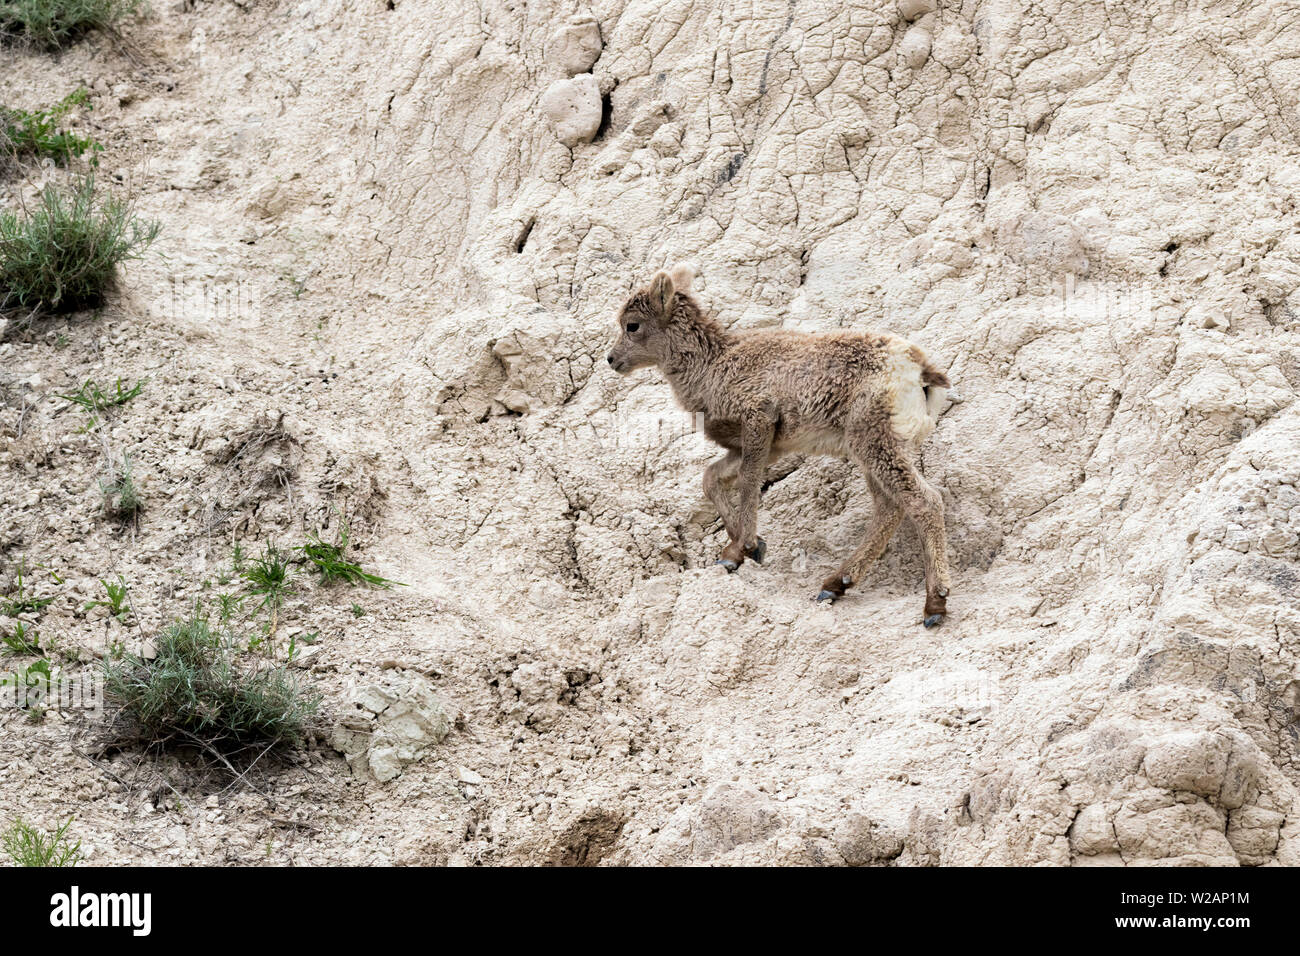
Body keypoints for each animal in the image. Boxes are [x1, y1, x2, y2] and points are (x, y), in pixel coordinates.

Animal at [608, 265, 956, 632]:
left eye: (632, 325)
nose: (611, 359)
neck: (713, 367)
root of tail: (919, 372)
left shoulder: (758, 421)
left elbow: (748, 482)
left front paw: (737, 552)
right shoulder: (765, 448)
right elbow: (711, 479)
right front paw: (751, 547)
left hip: (876, 444)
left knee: (924, 502)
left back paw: (934, 605)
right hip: (876, 451)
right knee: (889, 510)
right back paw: (835, 585)